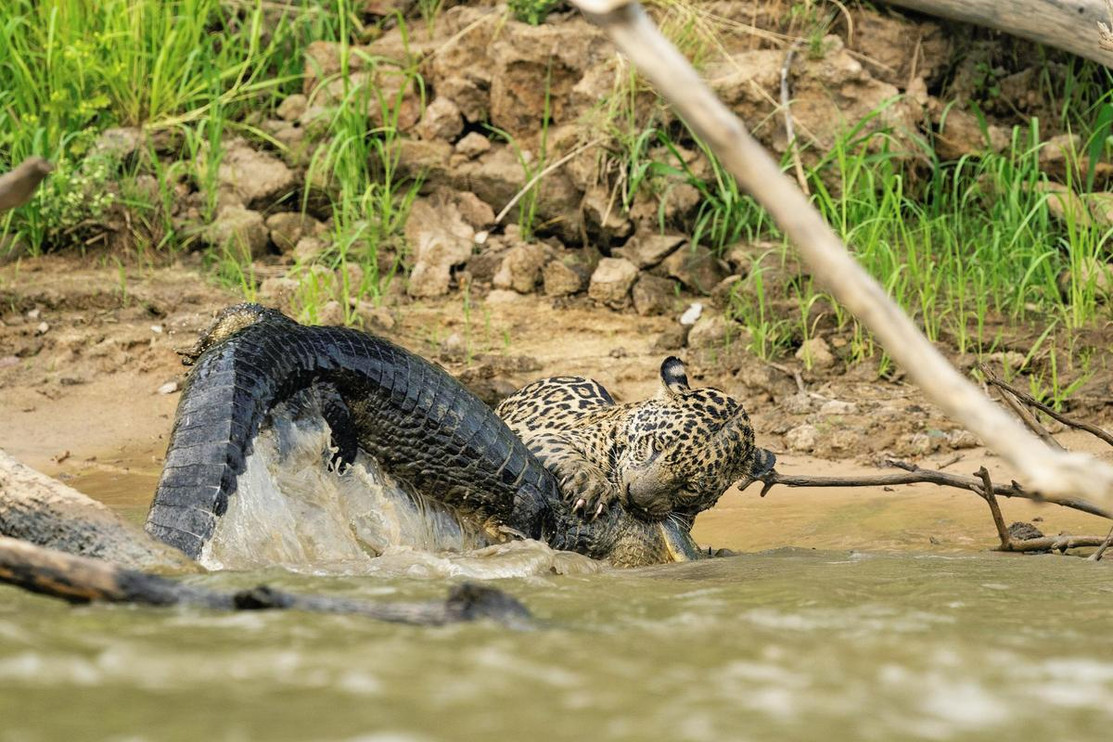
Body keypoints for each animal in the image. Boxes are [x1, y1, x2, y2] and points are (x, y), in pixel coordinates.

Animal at [495, 356, 776, 521]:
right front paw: (592, 487)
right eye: (655, 445)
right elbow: (569, 455)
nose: (634, 499)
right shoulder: (541, 434)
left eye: (690, 487)